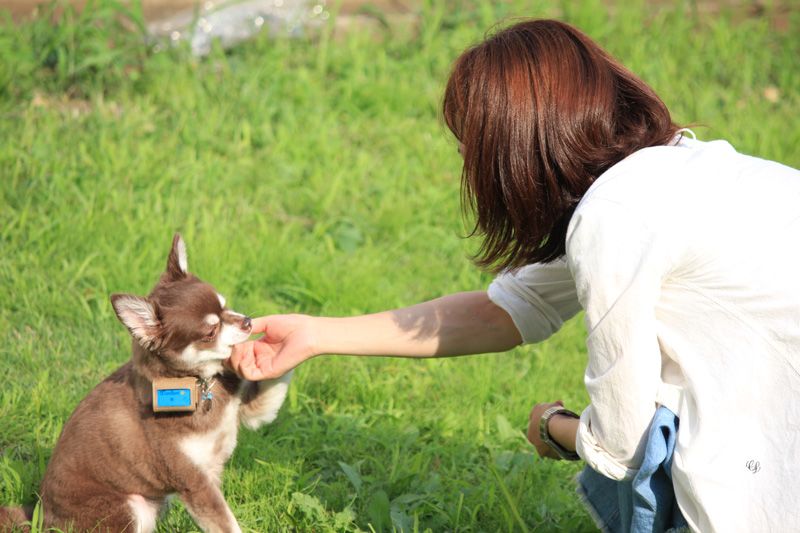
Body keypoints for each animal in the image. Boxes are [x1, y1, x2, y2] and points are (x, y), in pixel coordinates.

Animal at [1, 234, 291, 532]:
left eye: (225, 305)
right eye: (211, 331)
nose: (248, 322)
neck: (202, 385)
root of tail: (40, 513)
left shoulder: (252, 412)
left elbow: (275, 380)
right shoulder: (196, 485)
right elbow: (229, 525)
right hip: (129, 508)